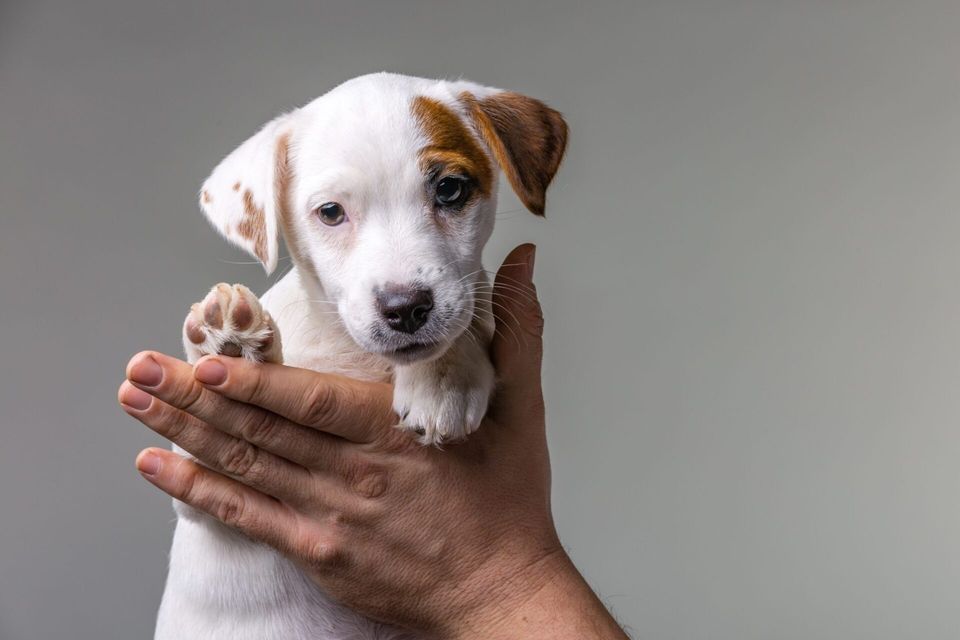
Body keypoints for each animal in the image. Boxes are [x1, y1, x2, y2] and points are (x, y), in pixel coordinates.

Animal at [155, 72, 568, 640]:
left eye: (450, 189)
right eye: (331, 213)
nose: (406, 308)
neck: (355, 356)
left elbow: (463, 323)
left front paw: (443, 379)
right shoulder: (200, 495)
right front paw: (229, 347)